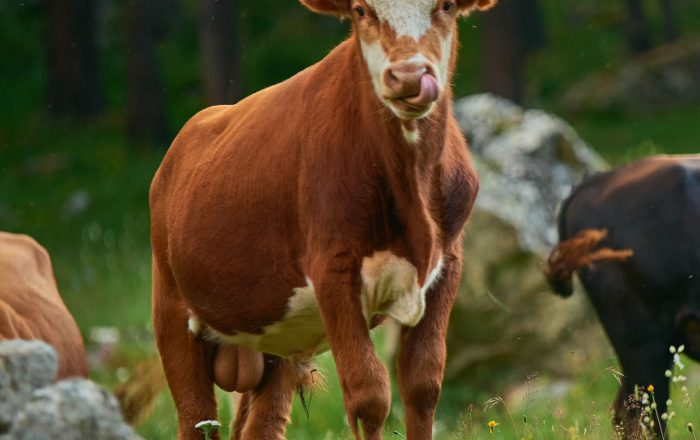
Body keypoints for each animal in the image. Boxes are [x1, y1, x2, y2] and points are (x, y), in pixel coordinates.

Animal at [149, 0, 494, 438]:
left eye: (446, 6)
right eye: (361, 11)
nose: (409, 75)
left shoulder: (447, 266)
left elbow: (423, 383)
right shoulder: (333, 270)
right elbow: (368, 393)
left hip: (276, 336)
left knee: (261, 423)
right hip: (172, 309)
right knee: (196, 416)